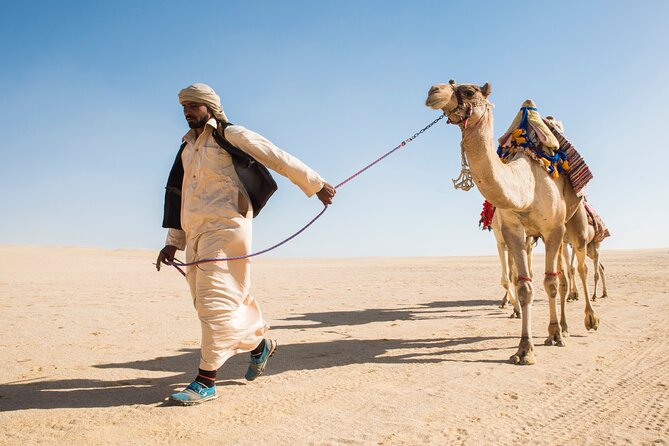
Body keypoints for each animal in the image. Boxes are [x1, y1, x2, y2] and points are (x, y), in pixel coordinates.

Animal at [426, 80, 599, 365]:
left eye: (470, 91)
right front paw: (525, 348)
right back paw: (562, 326)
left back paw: (588, 320)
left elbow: (550, 283)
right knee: (563, 275)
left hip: (574, 225)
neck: (527, 186)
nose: (433, 92)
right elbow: (524, 285)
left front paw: (552, 336)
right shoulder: (513, 231)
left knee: (580, 269)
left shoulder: (552, 228)